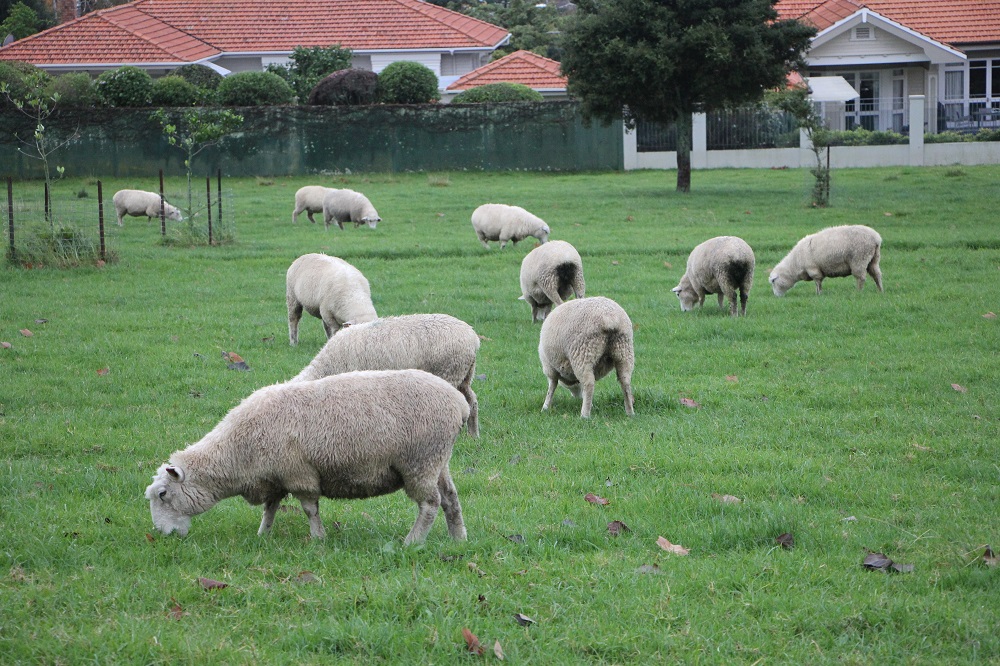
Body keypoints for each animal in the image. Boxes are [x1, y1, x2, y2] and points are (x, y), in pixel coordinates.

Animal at [146, 366, 470, 544]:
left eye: (163, 494)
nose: (162, 535)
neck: (236, 450)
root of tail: (459, 403)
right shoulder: (275, 477)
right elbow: (270, 508)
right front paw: (263, 535)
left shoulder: (298, 474)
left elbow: (309, 510)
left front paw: (318, 539)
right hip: (438, 460)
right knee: (450, 499)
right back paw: (459, 539)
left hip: (420, 461)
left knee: (430, 504)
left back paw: (412, 542)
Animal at [292, 312, 482, 436]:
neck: (326, 367)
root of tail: (473, 337)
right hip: (464, 374)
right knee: (472, 400)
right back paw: (473, 434)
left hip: (449, 371)